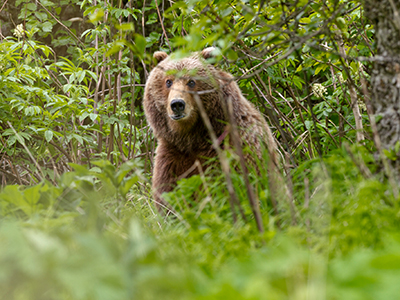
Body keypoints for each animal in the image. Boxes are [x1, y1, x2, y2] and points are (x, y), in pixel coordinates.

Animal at [144, 47, 278, 213]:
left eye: (191, 81)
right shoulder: (172, 156)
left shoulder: (234, 149)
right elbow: (168, 195)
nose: (177, 104)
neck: (192, 137)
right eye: (168, 81)